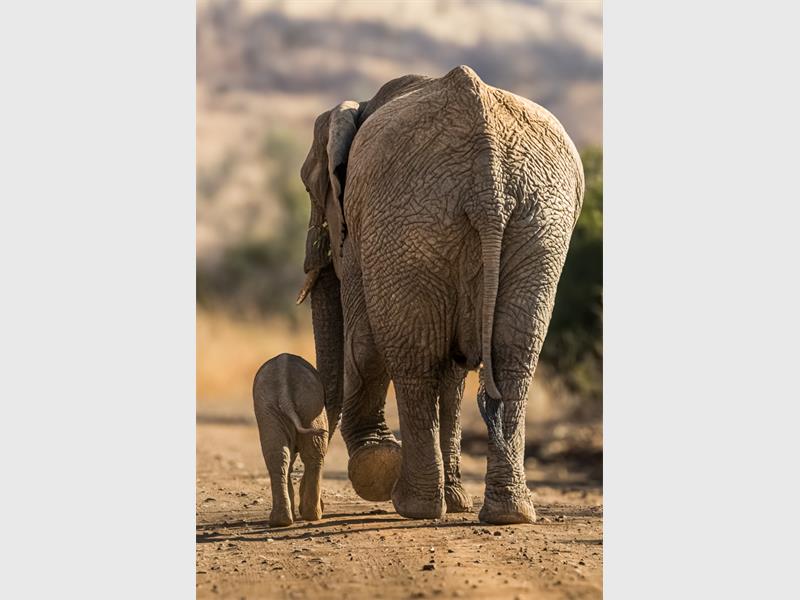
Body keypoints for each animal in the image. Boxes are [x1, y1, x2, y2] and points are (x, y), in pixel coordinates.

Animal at [253, 353, 328, 527]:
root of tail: (284, 391)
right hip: (308, 403)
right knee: (313, 450)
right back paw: (310, 516)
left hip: (280, 406)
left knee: (278, 454)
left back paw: (284, 520)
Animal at [296, 65, 584, 524]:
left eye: (309, 189)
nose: (314, 511)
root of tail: (489, 185)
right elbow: (452, 369)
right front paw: (457, 501)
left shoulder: (361, 230)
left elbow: (366, 346)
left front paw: (378, 467)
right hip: (538, 223)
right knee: (513, 357)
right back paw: (507, 514)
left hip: (409, 220)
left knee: (410, 357)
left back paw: (415, 506)